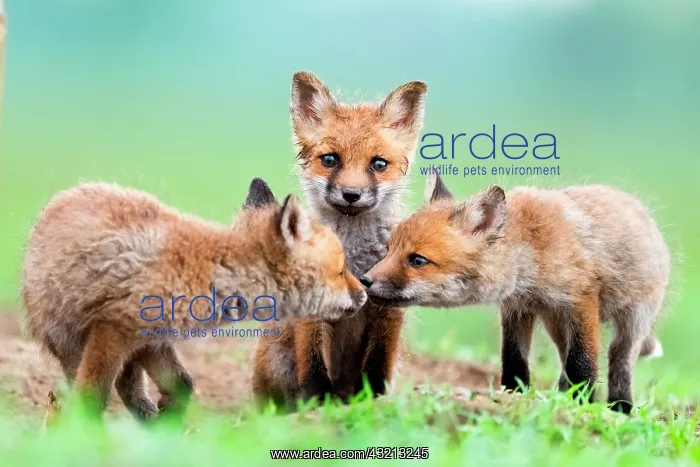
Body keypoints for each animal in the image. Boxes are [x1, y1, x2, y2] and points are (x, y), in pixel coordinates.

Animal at [21, 178, 366, 421]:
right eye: (341, 270)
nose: (364, 293)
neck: (208, 269)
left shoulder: (151, 340)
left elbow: (183, 384)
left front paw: (168, 420)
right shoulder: (113, 329)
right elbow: (91, 399)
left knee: (128, 387)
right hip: (71, 344)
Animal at [252, 72, 427, 406]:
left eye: (379, 164)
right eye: (330, 160)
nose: (351, 194)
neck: (354, 257)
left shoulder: (387, 311)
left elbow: (377, 366)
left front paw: (371, 400)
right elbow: (313, 365)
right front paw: (318, 403)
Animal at [362, 175, 670, 414]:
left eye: (417, 260)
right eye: (389, 250)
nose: (365, 281)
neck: (532, 251)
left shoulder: (580, 302)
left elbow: (582, 362)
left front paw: (582, 404)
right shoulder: (517, 307)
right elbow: (514, 360)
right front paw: (514, 397)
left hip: (633, 320)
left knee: (620, 360)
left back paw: (620, 406)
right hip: (555, 323)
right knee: (563, 359)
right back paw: (561, 396)